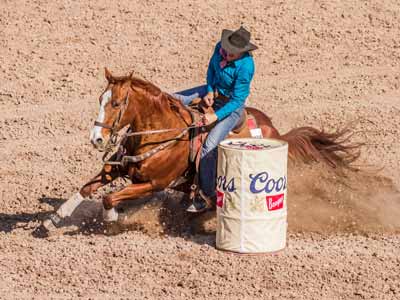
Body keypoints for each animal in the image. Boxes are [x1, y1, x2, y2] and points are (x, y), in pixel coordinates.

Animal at [42, 68, 360, 232]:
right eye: (100, 98)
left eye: (117, 104)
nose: (96, 139)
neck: (160, 133)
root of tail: (275, 131)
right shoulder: (118, 167)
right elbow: (86, 188)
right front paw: (53, 219)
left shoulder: (153, 184)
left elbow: (109, 198)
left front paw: (111, 219)